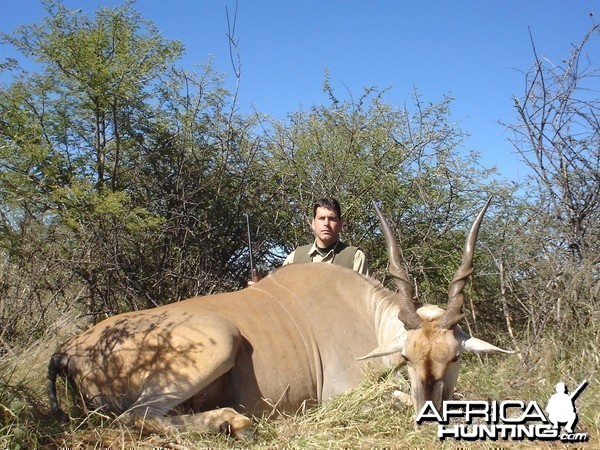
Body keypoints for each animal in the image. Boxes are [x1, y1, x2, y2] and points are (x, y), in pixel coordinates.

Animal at [49, 200, 512, 436]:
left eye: (455, 358)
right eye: (409, 357)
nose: (429, 414)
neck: (366, 316)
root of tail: (71, 349)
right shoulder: (339, 395)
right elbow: (393, 397)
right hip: (219, 339)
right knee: (136, 416)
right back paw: (234, 422)